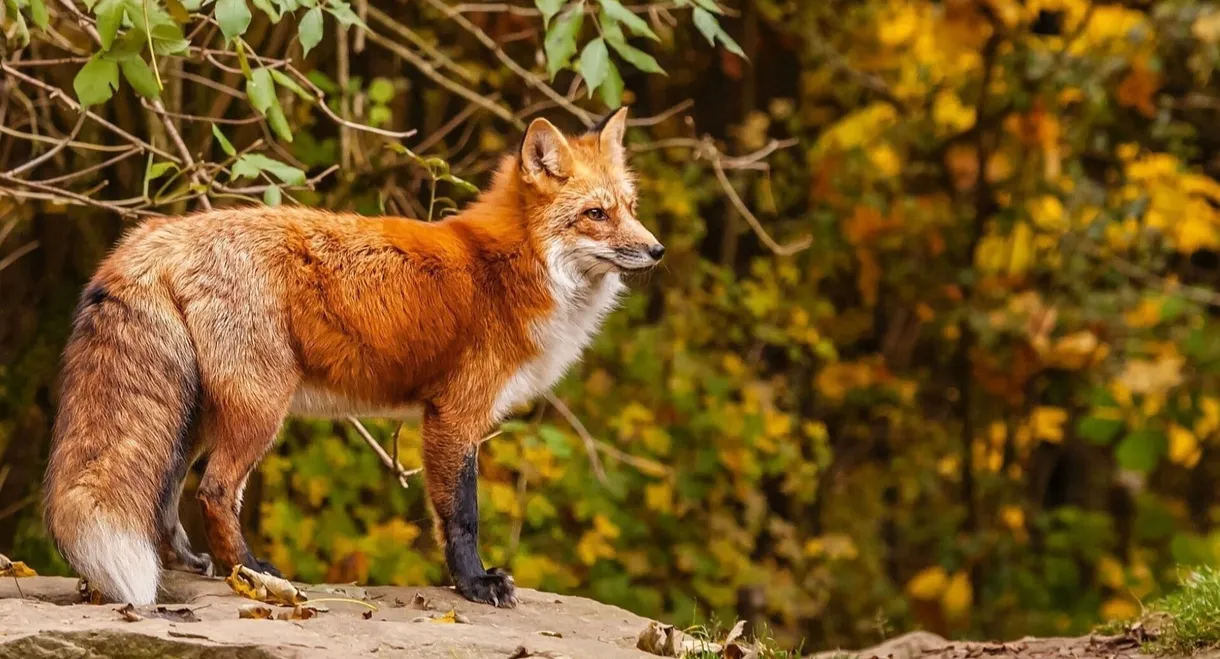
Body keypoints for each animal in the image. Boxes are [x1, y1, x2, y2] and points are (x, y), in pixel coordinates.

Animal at [43, 108, 663, 607]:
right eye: (596, 214)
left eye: (631, 208)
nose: (656, 249)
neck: (512, 268)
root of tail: (155, 234)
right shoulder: (455, 416)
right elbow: (461, 515)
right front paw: (475, 584)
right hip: (260, 407)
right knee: (213, 491)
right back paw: (251, 573)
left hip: (194, 413)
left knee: (167, 495)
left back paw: (195, 565)